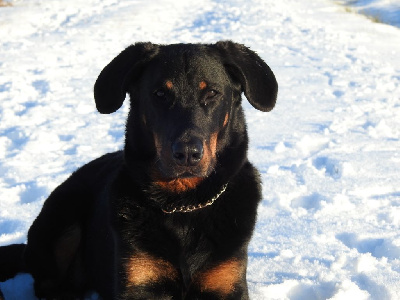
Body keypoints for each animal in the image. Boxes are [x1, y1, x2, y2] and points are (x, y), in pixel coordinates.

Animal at [0, 41, 278, 298]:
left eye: (211, 93)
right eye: (160, 94)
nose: (187, 153)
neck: (183, 205)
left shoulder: (225, 282)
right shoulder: (139, 280)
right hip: (63, 218)